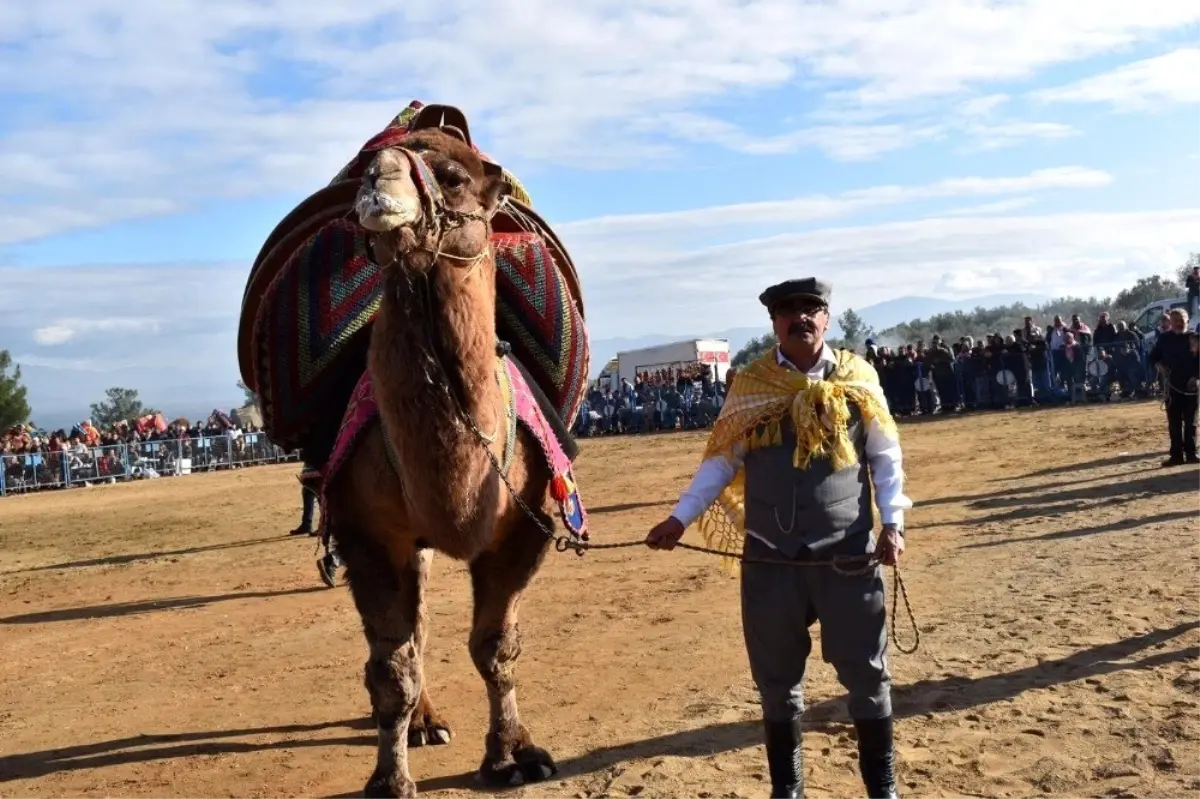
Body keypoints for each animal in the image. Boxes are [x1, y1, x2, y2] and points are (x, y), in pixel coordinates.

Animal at [319, 127, 561, 791]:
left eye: (453, 177)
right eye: (360, 169)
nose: (378, 178)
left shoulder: (525, 526)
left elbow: (495, 648)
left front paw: (512, 755)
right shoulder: (367, 534)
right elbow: (392, 668)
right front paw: (389, 780)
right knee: (412, 634)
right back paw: (425, 722)